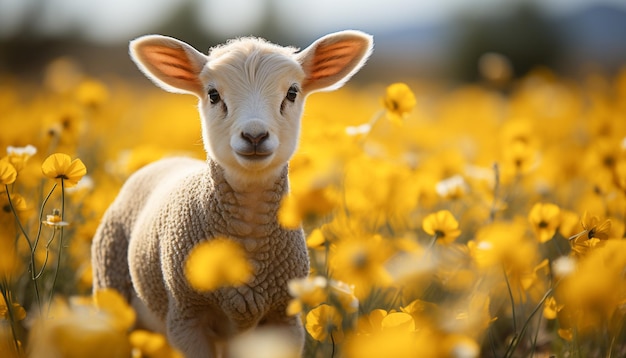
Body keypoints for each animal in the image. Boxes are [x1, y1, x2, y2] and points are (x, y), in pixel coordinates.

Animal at [91, 31, 372, 358]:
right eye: (213, 95)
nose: (254, 136)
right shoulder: (186, 317)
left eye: (292, 92)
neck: (248, 238)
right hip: (111, 289)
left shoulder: (284, 319)